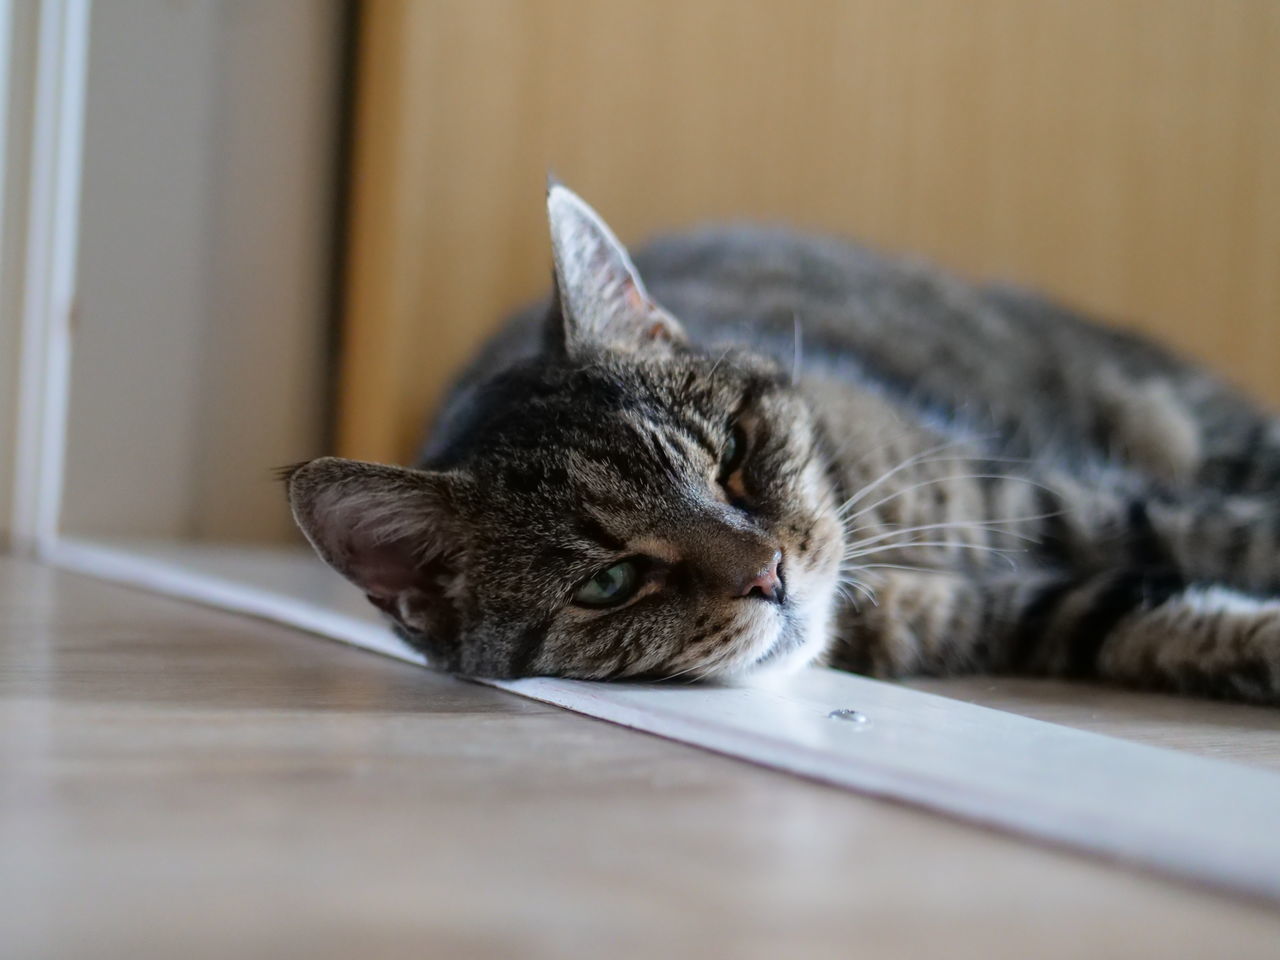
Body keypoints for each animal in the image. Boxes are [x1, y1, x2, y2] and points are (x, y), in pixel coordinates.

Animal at [285, 181, 1280, 706]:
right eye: (608, 583)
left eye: (732, 456)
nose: (771, 573)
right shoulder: (981, 612)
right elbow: (1134, 620)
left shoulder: (1029, 492)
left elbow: (1220, 533)